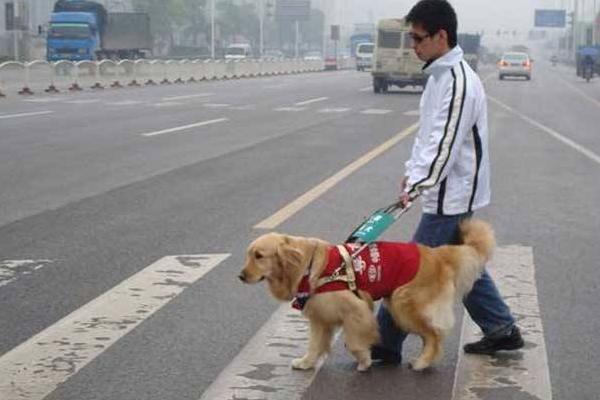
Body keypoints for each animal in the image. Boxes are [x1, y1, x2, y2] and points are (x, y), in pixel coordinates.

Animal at [239, 219, 496, 372]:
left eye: (259, 256)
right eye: (248, 255)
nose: (241, 276)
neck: (309, 267)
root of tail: (436, 254)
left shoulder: (356, 309)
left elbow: (354, 341)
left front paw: (364, 360)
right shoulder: (320, 318)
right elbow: (315, 343)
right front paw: (307, 362)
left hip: (403, 304)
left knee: (433, 335)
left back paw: (423, 361)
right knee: (432, 335)